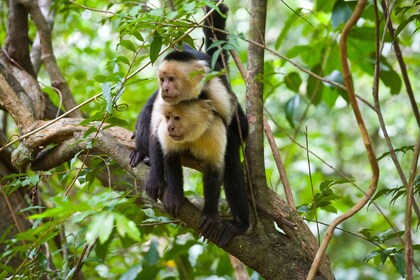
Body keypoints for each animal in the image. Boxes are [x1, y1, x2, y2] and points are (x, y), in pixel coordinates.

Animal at [130, 3, 249, 246]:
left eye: (172, 79)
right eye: (163, 79)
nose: (165, 87)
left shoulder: (216, 89)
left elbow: (233, 135)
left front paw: (211, 216)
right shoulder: (165, 104)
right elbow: (157, 134)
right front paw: (158, 179)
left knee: (232, 158)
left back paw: (240, 224)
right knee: (149, 111)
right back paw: (142, 153)